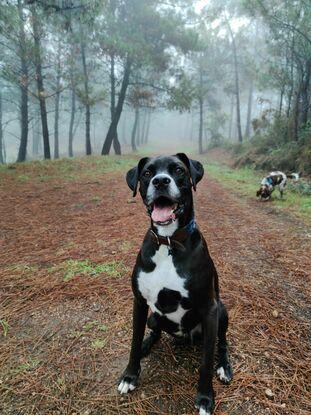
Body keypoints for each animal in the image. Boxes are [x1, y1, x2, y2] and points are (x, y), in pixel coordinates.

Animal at [118, 154, 233, 415]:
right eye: (147, 173)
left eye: (179, 170)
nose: (161, 181)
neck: (168, 242)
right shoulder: (139, 303)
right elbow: (133, 341)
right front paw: (130, 376)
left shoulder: (209, 309)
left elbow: (206, 361)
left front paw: (205, 398)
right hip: (153, 317)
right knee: (155, 330)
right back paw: (147, 345)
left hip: (222, 312)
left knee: (221, 344)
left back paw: (223, 366)